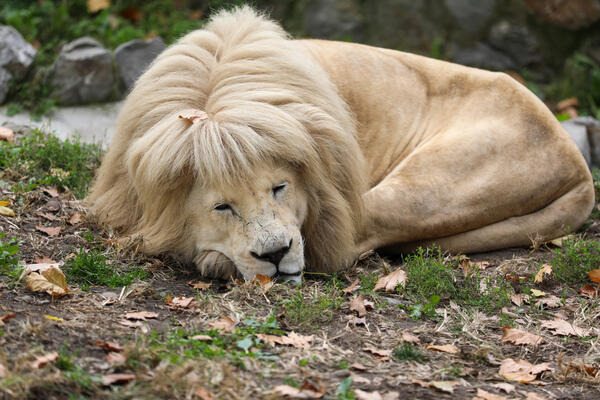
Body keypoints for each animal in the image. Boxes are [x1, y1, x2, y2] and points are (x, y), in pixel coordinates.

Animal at [84, 6, 596, 282]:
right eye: (222, 207)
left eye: (280, 188)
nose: (275, 255)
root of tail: (576, 159)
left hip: (426, 183)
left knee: (351, 241)